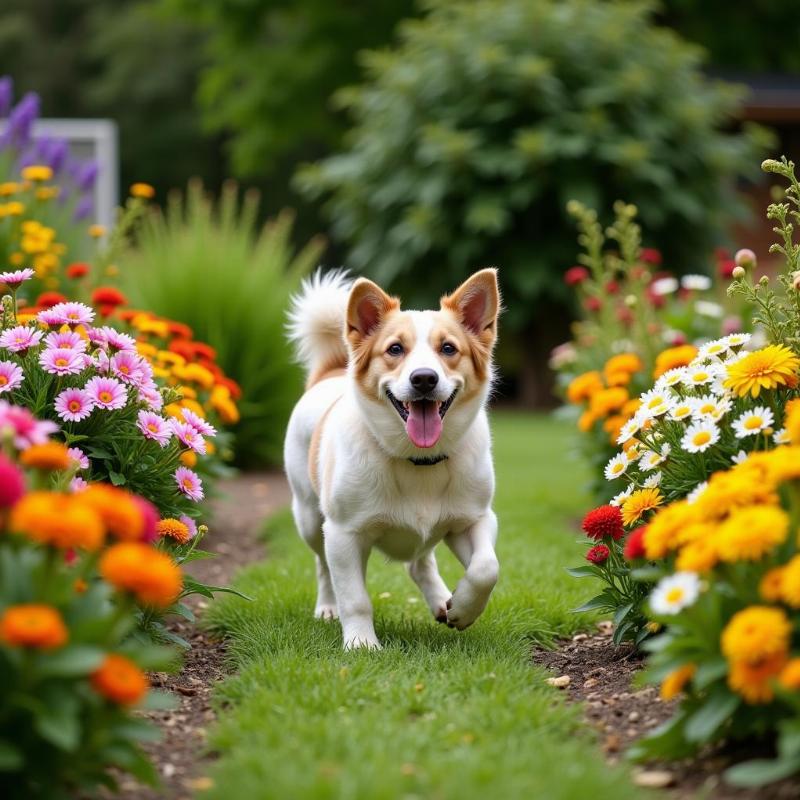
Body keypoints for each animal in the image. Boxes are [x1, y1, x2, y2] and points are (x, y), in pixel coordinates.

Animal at [284, 268, 500, 648]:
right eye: (395, 349)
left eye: (448, 348)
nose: (424, 379)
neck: (419, 461)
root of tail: (331, 372)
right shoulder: (342, 534)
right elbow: (355, 598)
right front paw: (361, 643)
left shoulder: (476, 519)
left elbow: (487, 569)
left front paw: (463, 608)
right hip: (310, 518)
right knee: (322, 567)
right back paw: (327, 607)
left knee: (420, 563)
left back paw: (441, 598)